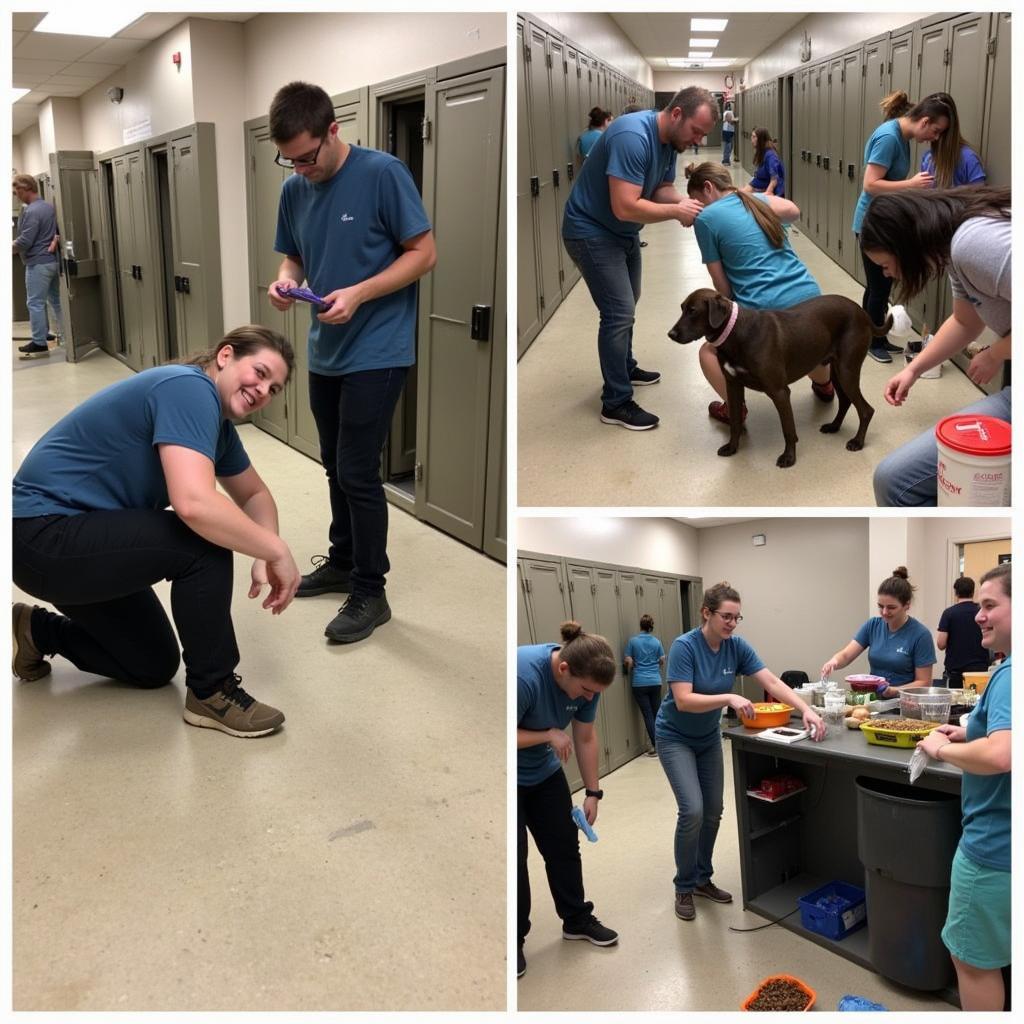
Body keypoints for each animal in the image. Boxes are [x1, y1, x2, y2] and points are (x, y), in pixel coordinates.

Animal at [663, 288, 888, 464]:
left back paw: (857, 442)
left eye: (693, 311)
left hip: (847, 371)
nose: (670, 334)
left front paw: (789, 458)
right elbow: (735, 422)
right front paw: (732, 447)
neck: (736, 334)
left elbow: (788, 429)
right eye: (682, 308)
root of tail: (863, 313)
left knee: (866, 410)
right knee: (845, 402)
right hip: (838, 372)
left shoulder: (779, 392)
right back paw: (834, 426)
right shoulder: (733, 386)